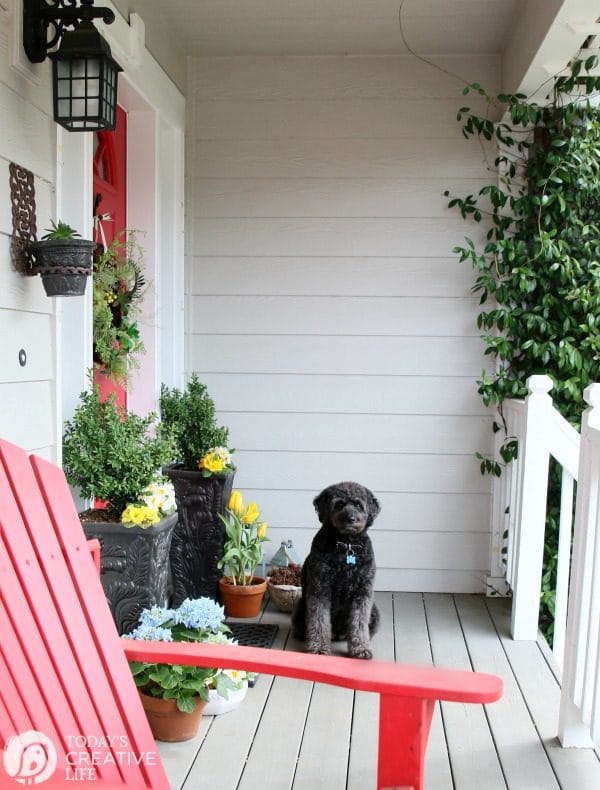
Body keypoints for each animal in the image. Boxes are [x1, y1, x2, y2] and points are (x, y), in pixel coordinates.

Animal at [292, 482, 382, 664]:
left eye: (358, 505)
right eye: (339, 504)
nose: (351, 519)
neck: (346, 545)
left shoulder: (363, 592)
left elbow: (359, 623)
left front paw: (361, 649)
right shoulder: (320, 588)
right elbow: (319, 620)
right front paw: (319, 648)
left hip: (375, 613)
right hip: (300, 610)